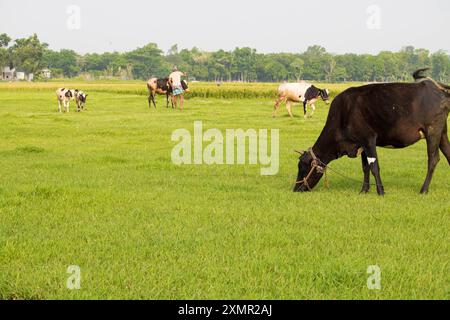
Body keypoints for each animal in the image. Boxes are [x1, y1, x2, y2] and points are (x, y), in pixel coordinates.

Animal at [294, 68, 448, 195]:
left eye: (302, 166)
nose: (295, 189)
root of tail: (434, 88)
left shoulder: (369, 139)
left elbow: (374, 166)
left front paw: (380, 191)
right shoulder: (361, 143)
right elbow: (365, 167)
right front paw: (364, 190)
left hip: (432, 131)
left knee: (433, 159)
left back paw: (423, 189)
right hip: (442, 133)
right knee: (448, 154)